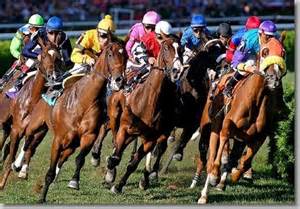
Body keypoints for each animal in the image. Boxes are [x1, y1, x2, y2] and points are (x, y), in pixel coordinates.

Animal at [0, 37, 61, 189]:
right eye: (44, 55)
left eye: (58, 57)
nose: (53, 76)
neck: (33, 100)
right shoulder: (17, 129)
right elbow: (11, 155)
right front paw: (2, 183)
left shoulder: (39, 132)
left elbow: (29, 149)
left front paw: (22, 170)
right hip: (4, 119)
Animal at [38, 41, 126, 203]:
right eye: (110, 54)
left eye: (126, 55)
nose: (119, 80)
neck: (82, 102)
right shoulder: (58, 139)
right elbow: (51, 169)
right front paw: (42, 197)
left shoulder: (89, 136)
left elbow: (80, 159)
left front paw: (74, 181)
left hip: (73, 144)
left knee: (64, 157)